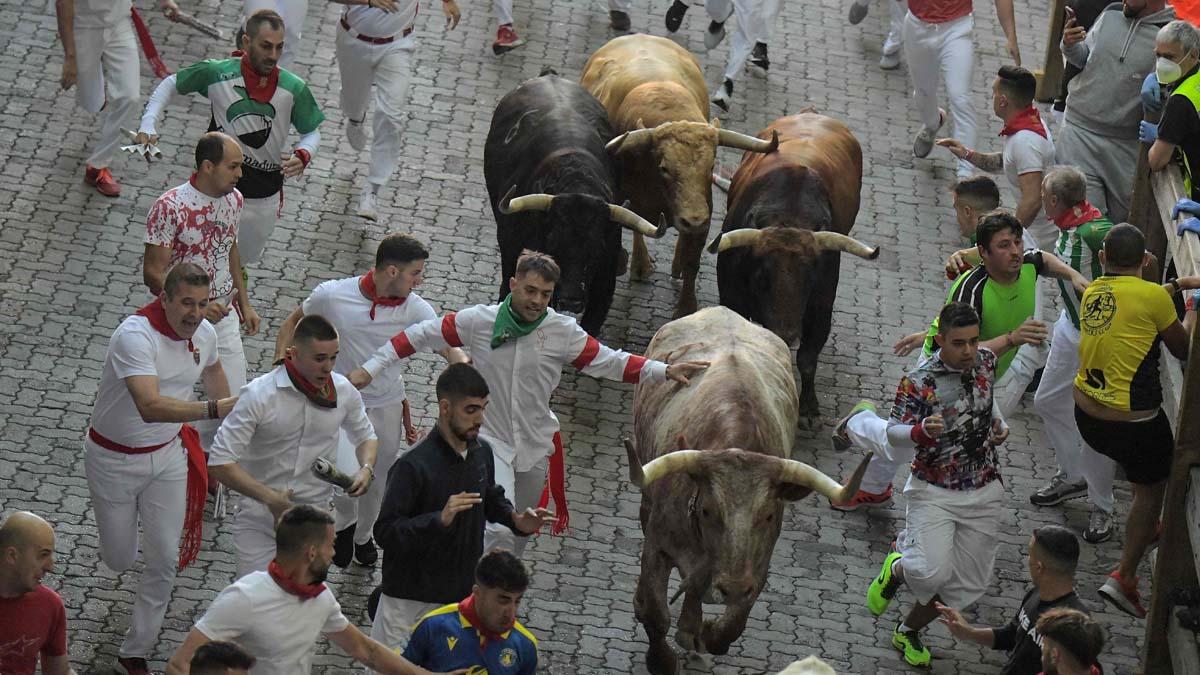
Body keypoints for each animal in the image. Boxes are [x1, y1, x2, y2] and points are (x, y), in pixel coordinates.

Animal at [580, 35, 777, 319]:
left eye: (710, 166)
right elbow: (632, 224)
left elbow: (693, 263)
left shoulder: (705, 213)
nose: (692, 220)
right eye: (664, 167)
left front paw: (686, 308)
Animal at [624, 306, 868, 672]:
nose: (733, 587)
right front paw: (661, 660)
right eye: (707, 510)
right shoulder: (657, 545)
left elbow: (733, 623)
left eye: (767, 515)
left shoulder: (758, 564)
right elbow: (654, 613)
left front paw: (705, 633)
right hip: (646, 506)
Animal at [705, 111, 878, 425]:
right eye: (761, 276)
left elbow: (807, 358)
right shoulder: (732, 295)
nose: (786, 334)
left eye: (810, 279)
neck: (789, 215)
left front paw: (808, 408)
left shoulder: (821, 305)